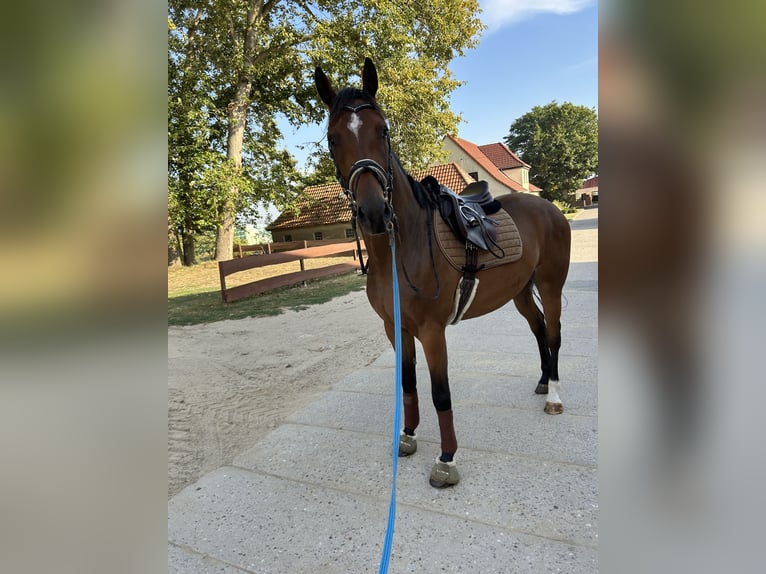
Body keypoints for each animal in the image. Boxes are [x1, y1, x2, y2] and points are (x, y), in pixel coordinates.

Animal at [316, 59, 572, 490]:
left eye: (383, 130)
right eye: (334, 139)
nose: (373, 212)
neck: (404, 250)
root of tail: (550, 208)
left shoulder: (433, 332)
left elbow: (440, 393)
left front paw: (447, 459)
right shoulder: (396, 328)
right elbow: (408, 384)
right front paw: (407, 436)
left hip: (551, 286)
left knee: (552, 333)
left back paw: (553, 396)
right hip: (521, 292)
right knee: (538, 329)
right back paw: (541, 382)